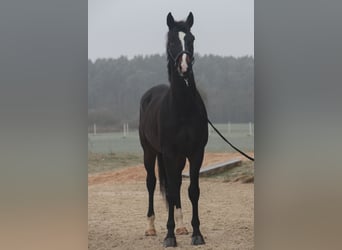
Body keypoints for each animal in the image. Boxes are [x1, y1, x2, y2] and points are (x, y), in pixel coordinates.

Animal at [139, 12, 208, 248]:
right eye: (171, 41)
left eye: (192, 38)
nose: (184, 68)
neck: (183, 108)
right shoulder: (168, 153)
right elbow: (168, 191)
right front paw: (169, 237)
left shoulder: (196, 153)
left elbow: (192, 191)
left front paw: (197, 233)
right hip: (150, 152)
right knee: (152, 184)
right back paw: (151, 227)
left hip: (177, 158)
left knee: (176, 184)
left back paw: (181, 226)